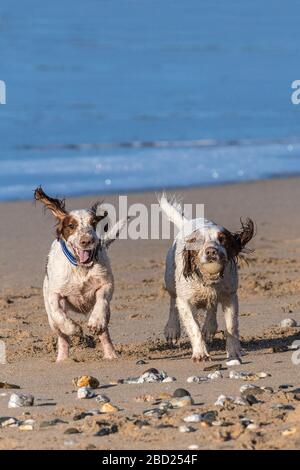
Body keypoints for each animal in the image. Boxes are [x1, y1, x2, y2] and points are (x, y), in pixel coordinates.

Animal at [34, 187, 126, 364]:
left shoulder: (106, 283)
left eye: (94, 222)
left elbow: (102, 301)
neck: (80, 267)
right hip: (50, 316)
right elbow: (59, 313)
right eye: (71, 225)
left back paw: (110, 354)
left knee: (104, 333)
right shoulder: (55, 294)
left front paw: (95, 322)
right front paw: (74, 328)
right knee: (61, 336)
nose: (86, 241)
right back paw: (62, 359)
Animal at [158, 196, 254, 366]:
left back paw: (209, 328)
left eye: (222, 239)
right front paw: (201, 354)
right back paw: (172, 329)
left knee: (212, 306)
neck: (208, 279)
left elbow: (231, 326)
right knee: (172, 301)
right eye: (199, 241)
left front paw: (234, 353)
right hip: (170, 280)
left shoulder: (230, 295)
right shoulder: (185, 301)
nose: (211, 252)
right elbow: (193, 327)